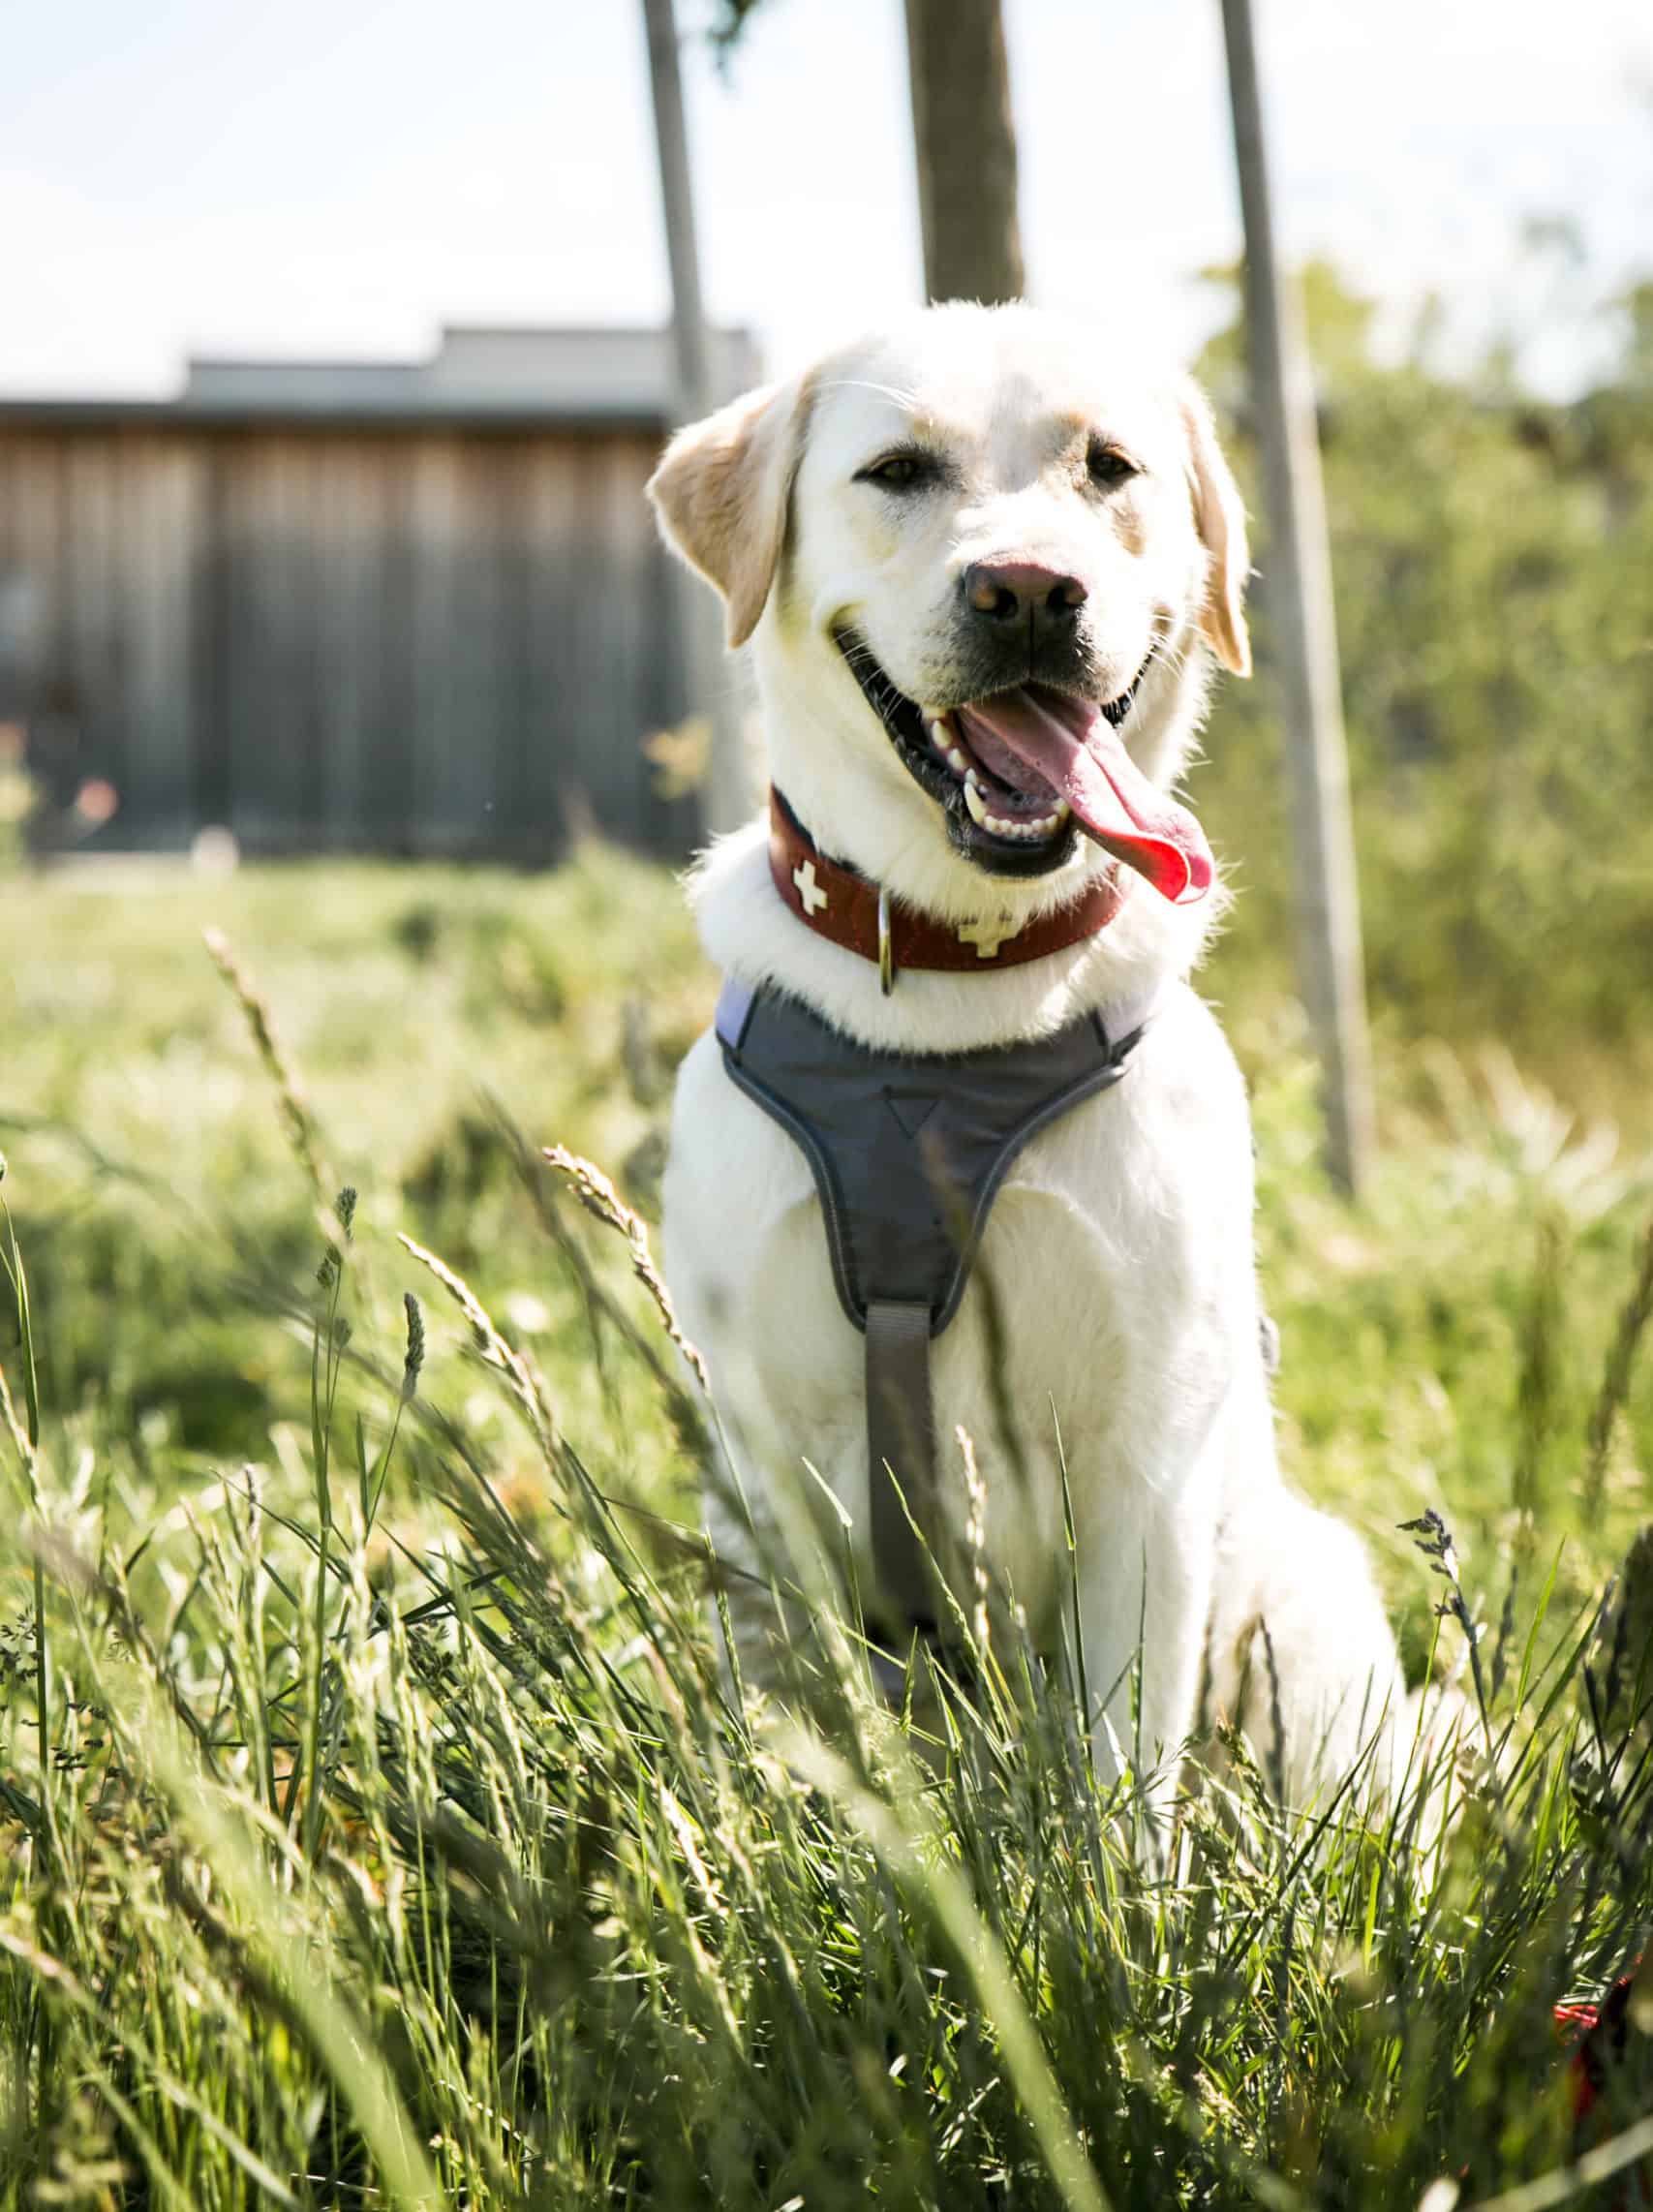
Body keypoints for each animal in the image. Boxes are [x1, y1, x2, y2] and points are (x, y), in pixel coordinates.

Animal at [646, 298, 1407, 1813]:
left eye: (1108, 468)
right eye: (894, 472)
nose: (1028, 593)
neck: (955, 984)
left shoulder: (1146, 1467)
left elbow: (1120, 1768)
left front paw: (1116, 1878)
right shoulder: (764, 1474)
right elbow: (812, 1730)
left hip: (1313, 1615)